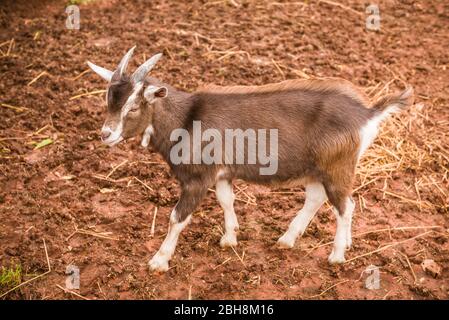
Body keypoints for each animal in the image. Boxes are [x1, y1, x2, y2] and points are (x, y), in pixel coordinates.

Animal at [86, 47, 412, 272]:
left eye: (134, 107)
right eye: (108, 100)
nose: (105, 134)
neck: (185, 118)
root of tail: (367, 113)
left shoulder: (197, 178)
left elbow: (177, 218)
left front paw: (158, 261)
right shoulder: (221, 173)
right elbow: (226, 200)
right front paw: (230, 238)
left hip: (337, 167)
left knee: (345, 206)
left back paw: (336, 255)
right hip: (316, 168)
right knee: (317, 198)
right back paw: (288, 240)